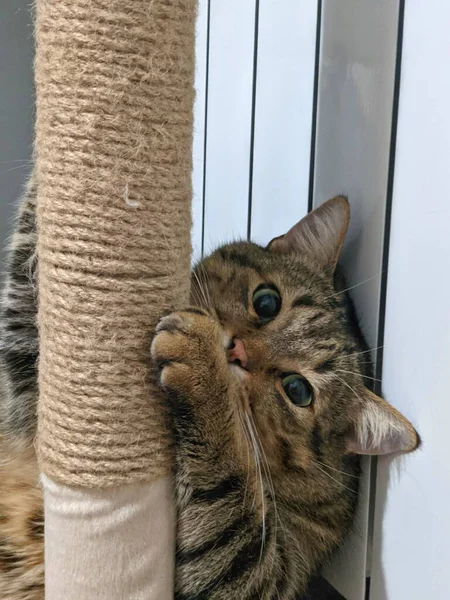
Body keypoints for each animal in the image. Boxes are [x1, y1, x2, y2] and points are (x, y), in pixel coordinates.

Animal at [1, 184, 420, 600]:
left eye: (297, 389)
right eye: (266, 301)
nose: (235, 351)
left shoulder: (262, 576)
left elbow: (227, 495)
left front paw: (202, 364)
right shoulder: (28, 391)